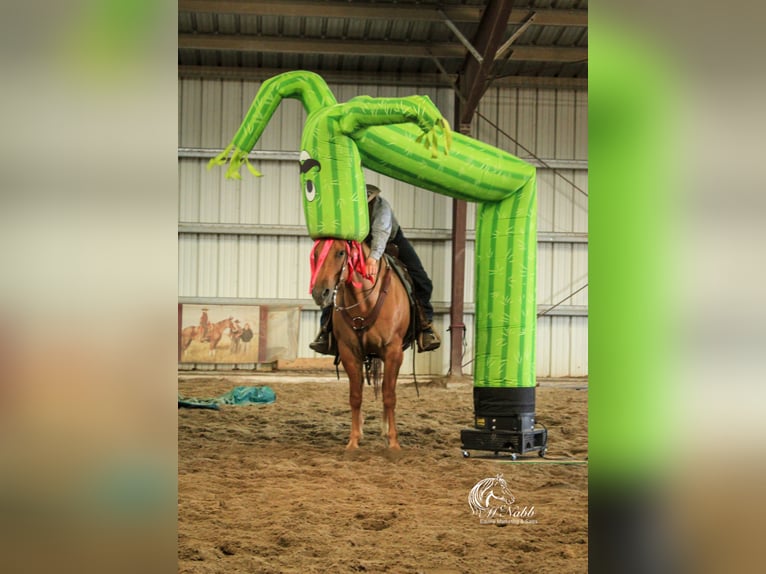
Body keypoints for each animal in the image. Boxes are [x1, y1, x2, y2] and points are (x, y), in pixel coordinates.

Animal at [310, 238, 414, 450]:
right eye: (315, 254)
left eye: (341, 253)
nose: (319, 293)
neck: (365, 302)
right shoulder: (349, 353)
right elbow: (355, 396)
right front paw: (354, 440)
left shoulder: (393, 353)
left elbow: (389, 395)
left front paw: (393, 442)